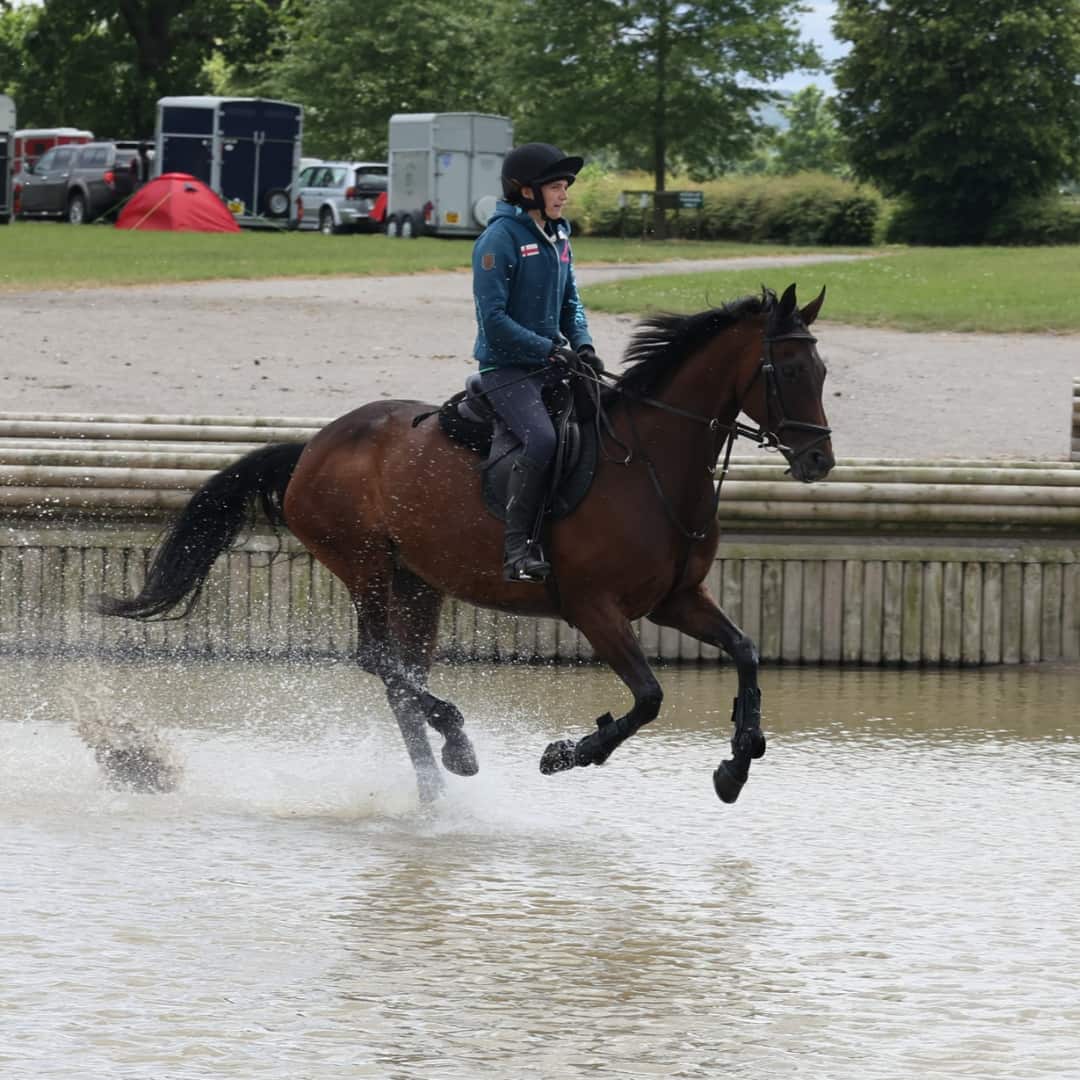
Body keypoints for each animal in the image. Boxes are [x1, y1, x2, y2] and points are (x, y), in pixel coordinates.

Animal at [98, 283, 834, 806]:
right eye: (789, 370)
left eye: (823, 371)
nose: (819, 460)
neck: (651, 462)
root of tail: (313, 446)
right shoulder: (594, 608)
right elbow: (649, 697)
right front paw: (569, 753)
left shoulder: (676, 599)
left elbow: (746, 651)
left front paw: (738, 760)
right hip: (365, 564)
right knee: (378, 659)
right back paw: (455, 745)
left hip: (419, 582)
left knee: (401, 679)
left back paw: (435, 787)